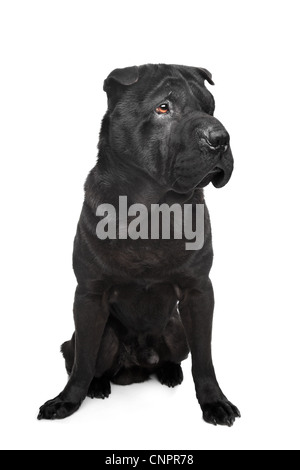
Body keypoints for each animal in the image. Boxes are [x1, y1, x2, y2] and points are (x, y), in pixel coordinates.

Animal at [37, 63, 240, 426]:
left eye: (210, 108)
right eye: (163, 107)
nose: (220, 138)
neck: (152, 210)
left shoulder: (199, 291)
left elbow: (204, 358)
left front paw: (214, 402)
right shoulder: (88, 294)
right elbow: (82, 362)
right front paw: (66, 401)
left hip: (176, 331)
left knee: (176, 355)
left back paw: (170, 373)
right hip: (102, 336)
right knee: (86, 357)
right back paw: (98, 386)